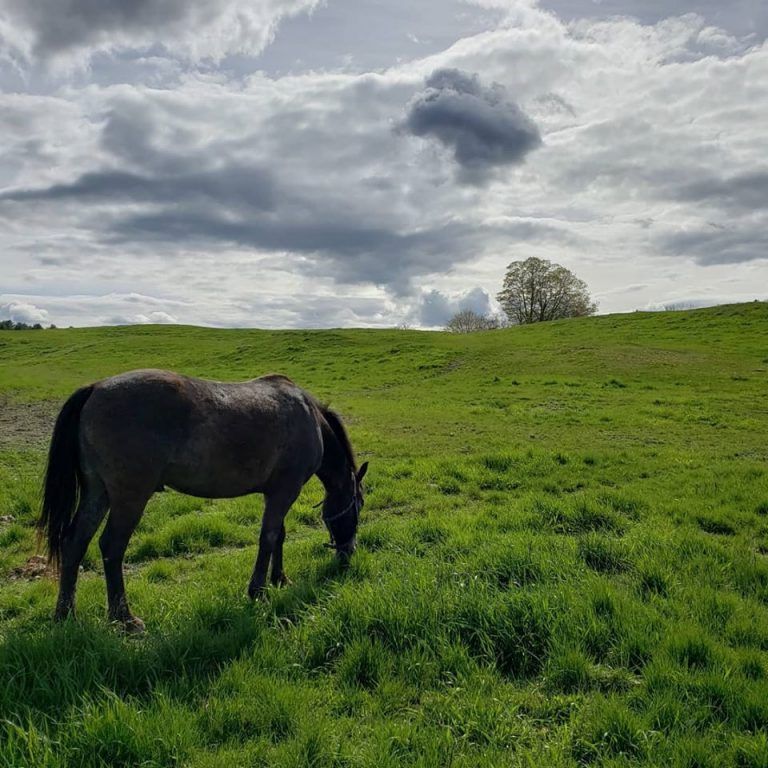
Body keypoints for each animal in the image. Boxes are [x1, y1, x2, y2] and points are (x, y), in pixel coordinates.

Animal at [37, 368, 368, 632]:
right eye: (358, 507)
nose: (348, 552)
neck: (308, 417)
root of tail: (95, 388)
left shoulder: (275, 492)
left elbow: (279, 536)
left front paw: (279, 579)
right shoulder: (285, 491)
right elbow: (269, 537)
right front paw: (258, 591)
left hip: (98, 492)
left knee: (75, 542)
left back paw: (65, 614)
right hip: (129, 497)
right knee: (111, 547)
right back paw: (124, 618)